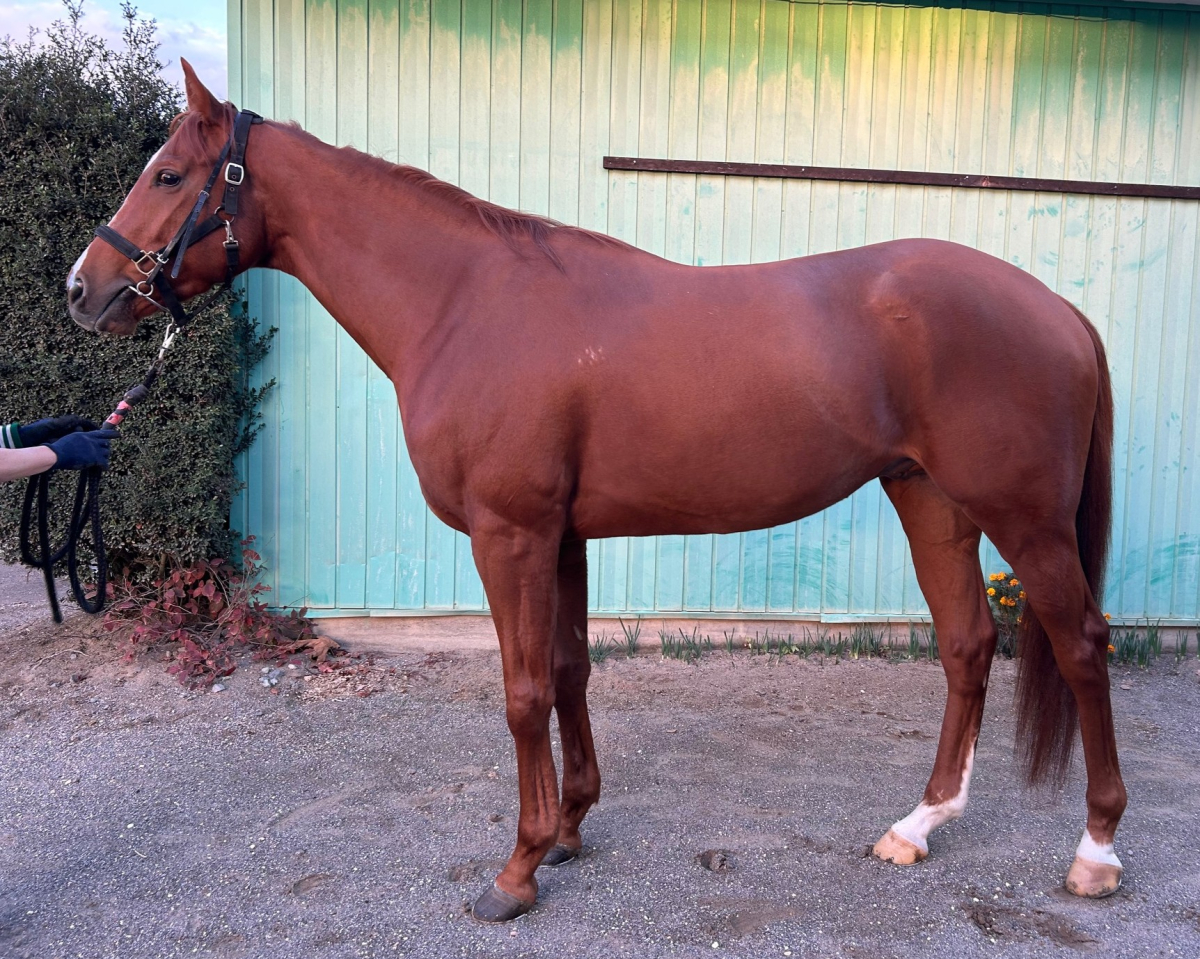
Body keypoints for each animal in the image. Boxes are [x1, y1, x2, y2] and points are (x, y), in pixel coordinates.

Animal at [66, 61, 1125, 922]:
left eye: (169, 176)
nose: (83, 289)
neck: (463, 302)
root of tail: (1062, 311)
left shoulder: (510, 534)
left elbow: (524, 688)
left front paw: (518, 867)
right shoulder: (564, 536)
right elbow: (572, 668)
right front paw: (572, 827)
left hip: (1025, 519)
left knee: (1079, 644)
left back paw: (1096, 850)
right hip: (930, 500)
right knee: (967, 644)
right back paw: (919, 824)